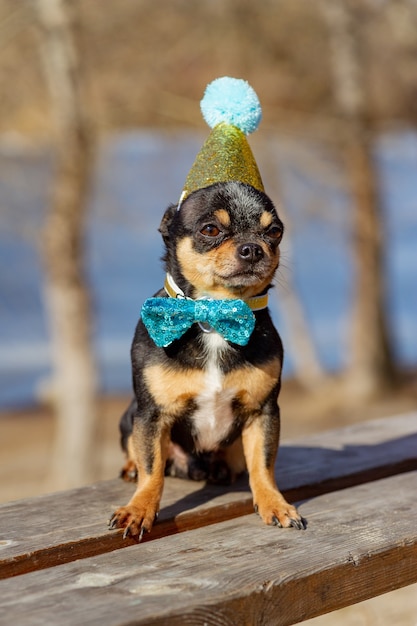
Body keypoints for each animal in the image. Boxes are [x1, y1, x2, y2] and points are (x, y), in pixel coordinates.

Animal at [107, 179, 304, 536]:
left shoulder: (263, 413)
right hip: (130, 416)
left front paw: (274, 503)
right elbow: (151, 469)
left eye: (274, 232)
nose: (253, 248)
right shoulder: (151, 416)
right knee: (137, 453)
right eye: (210, 229)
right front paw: (140, 509)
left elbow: (264, 465)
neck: (214, 313)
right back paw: (130, 468)